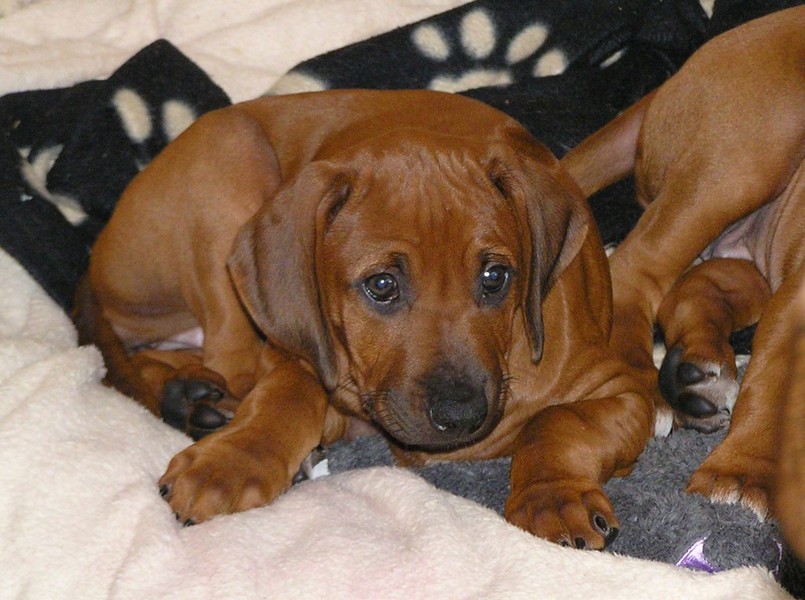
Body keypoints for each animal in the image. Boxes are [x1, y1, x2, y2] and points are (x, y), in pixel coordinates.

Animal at [74, 88, 655, 549]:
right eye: (382, 286)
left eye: (496, 277)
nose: (461, 414)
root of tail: (96, 256)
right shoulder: (300, 353)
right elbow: (285, 392)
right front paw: (233, 459)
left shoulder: (625, 391)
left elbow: (556, 421)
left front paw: (550, 497)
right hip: (229, 169)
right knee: (220, 361)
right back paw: (199, 403)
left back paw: (192, 396)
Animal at [561, 6, 804, 522]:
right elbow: (774, 386)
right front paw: (740, 476)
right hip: (743, 157)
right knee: (635, 269)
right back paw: (639, 384)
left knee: (691, 288)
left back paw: (698, 369)